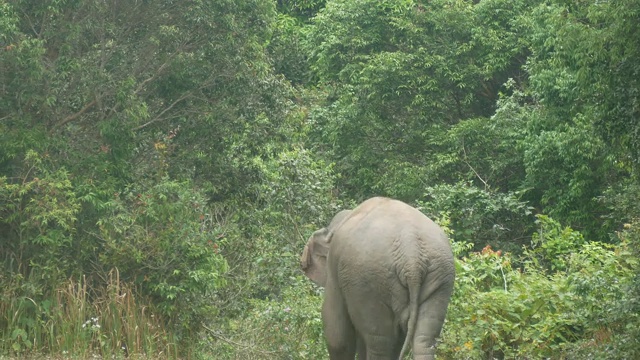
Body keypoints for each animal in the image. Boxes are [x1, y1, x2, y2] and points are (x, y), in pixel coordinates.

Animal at [300, 197, 456, 360]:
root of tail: (411, 252)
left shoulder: (334, 268)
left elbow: (336, 330)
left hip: (369, 281)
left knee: (379, 341)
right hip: (440, 276)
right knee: (424, 339)